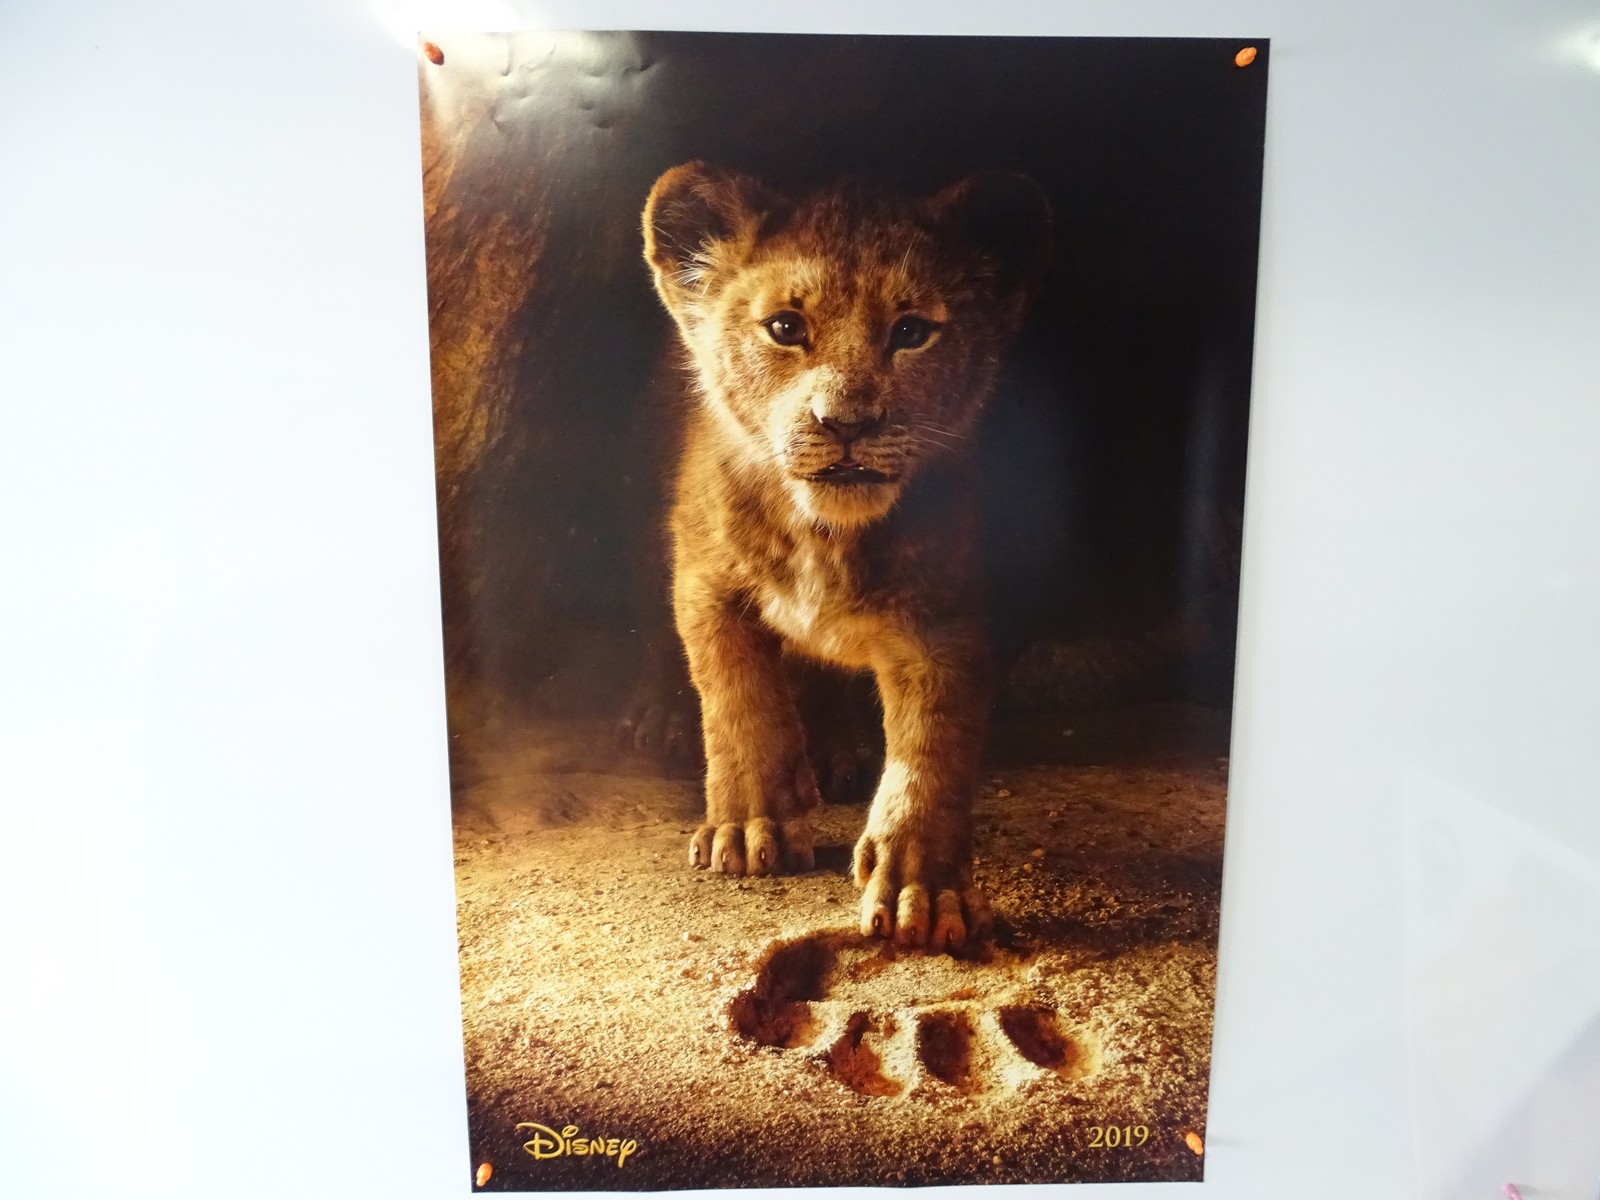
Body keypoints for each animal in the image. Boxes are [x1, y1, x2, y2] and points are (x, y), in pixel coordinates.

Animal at [642, 161, 1050, 951]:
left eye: (912, 332)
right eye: (785, 328)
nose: (847, 425)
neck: (825, 537)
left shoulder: (943, 621)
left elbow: (931, 751)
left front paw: (925, 888)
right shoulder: (707, 582)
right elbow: (738, 702)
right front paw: (749, 827)